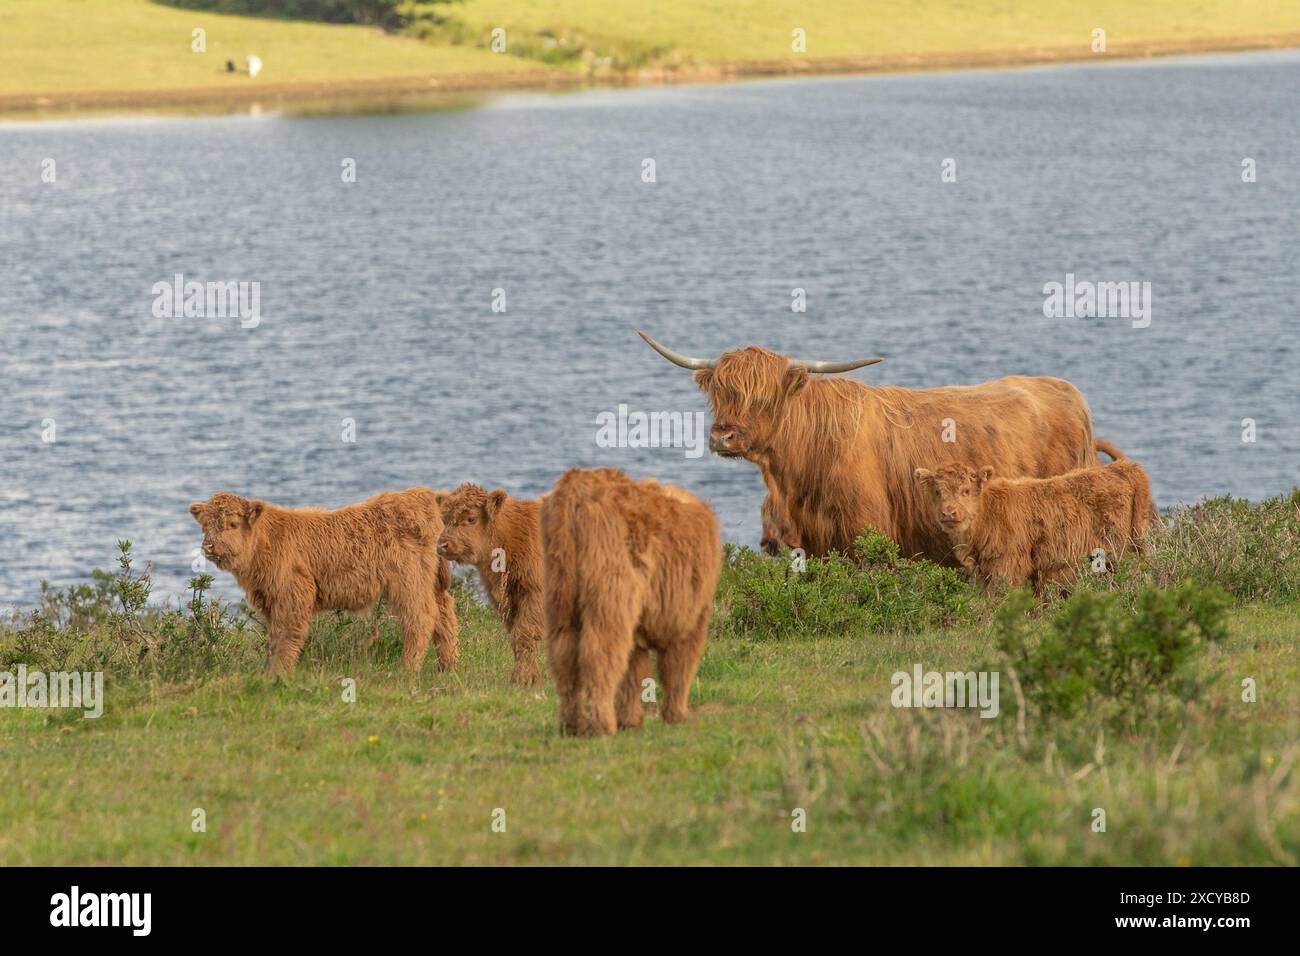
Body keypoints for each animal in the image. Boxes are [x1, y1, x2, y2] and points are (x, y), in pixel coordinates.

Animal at [188, 489, 458, 675]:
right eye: (205, 526)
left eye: (233, 524)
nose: (209, 546)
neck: (267, 541)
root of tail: (421, 495)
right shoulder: (270, 600)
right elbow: (274, 638)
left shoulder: (293, 594)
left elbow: (287, 636)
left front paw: (278, 675)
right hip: (430, 583)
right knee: (444, 616)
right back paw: (447, 667)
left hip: (409, 582)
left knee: (421, 619)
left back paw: (407, 669)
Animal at [437, 483, 544, 687]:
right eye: (444, 519)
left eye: (471, 518)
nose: (442, 545)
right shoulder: (506, 601)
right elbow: (516, 636)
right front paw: (529, 677)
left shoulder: (534, 594)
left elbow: (525, 634)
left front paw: (523, 678)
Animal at [540, 467, 722, 737]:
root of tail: (575, 485)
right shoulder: (691, 614)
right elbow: (679, 664)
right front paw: (676, 714)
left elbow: (634, 669)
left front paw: (631, 719)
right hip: (610, 588)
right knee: (599, 652)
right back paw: (604, 724)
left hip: (559, 587)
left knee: (564, 653)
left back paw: (573, 725)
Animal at [913, 460, 1154, 594]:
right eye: (937, 492)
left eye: (965, 491)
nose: (948, 513)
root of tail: (1122, 467)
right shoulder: (985, 571)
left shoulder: (1006, 565)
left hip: (1121, 550)